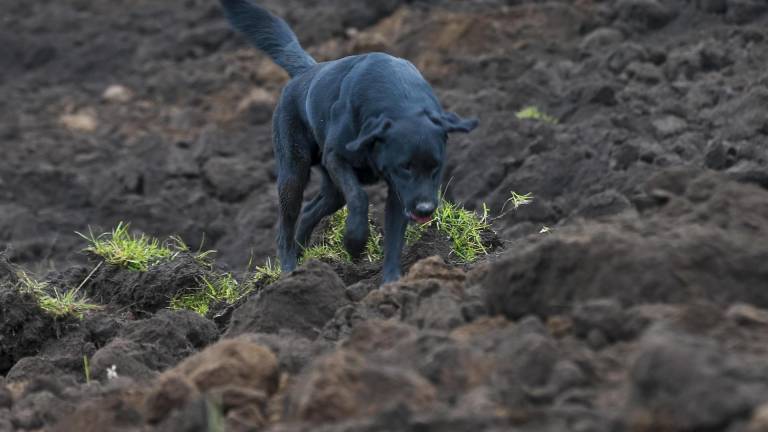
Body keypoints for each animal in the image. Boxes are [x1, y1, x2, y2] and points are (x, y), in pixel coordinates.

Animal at [219, 0, 476, 282]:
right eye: (405, 167)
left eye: (436, 167)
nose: (425, 210)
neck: (401, 99)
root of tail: (307, 71)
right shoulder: (339, 158)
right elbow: (359, 197)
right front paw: (354, 242)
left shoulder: (399, 190)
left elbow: (395, 236)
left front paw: (392, 282)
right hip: (293, 173)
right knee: (286, 225)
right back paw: (288, 269)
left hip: (332, 190)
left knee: (309, 212)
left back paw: (303, 260)